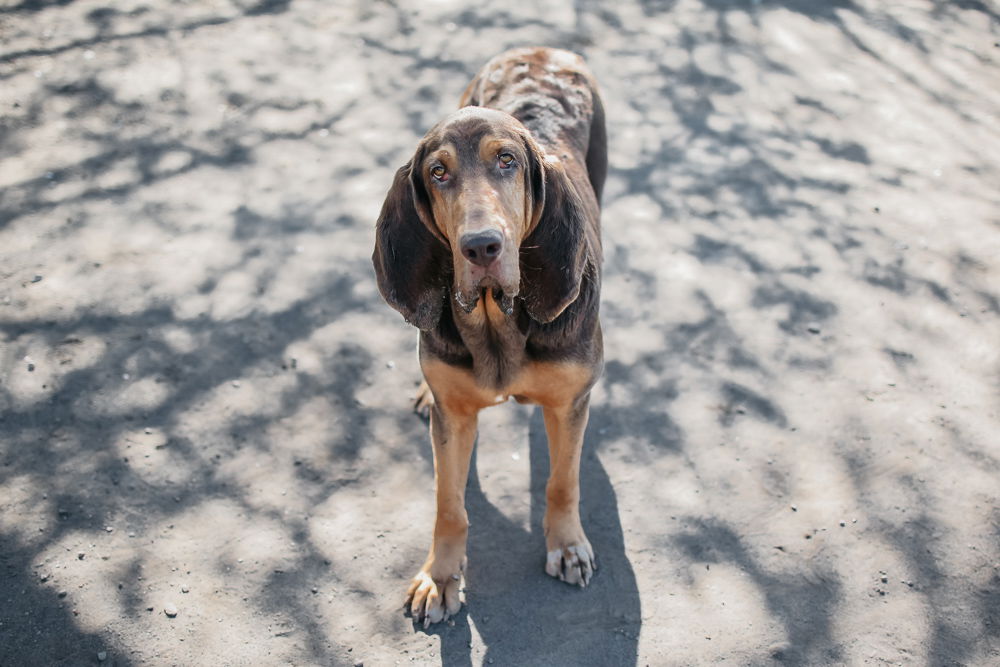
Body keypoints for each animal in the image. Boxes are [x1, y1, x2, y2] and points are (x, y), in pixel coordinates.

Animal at [374, 47, 604, 628]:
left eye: (507, 161)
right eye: (438, 172)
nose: (481, 247)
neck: (497, 318)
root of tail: (538, 50)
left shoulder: (568, 403)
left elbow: (563, 482)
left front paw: (567, 546)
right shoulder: (454, 417)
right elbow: (448, 505)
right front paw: (440, 577)